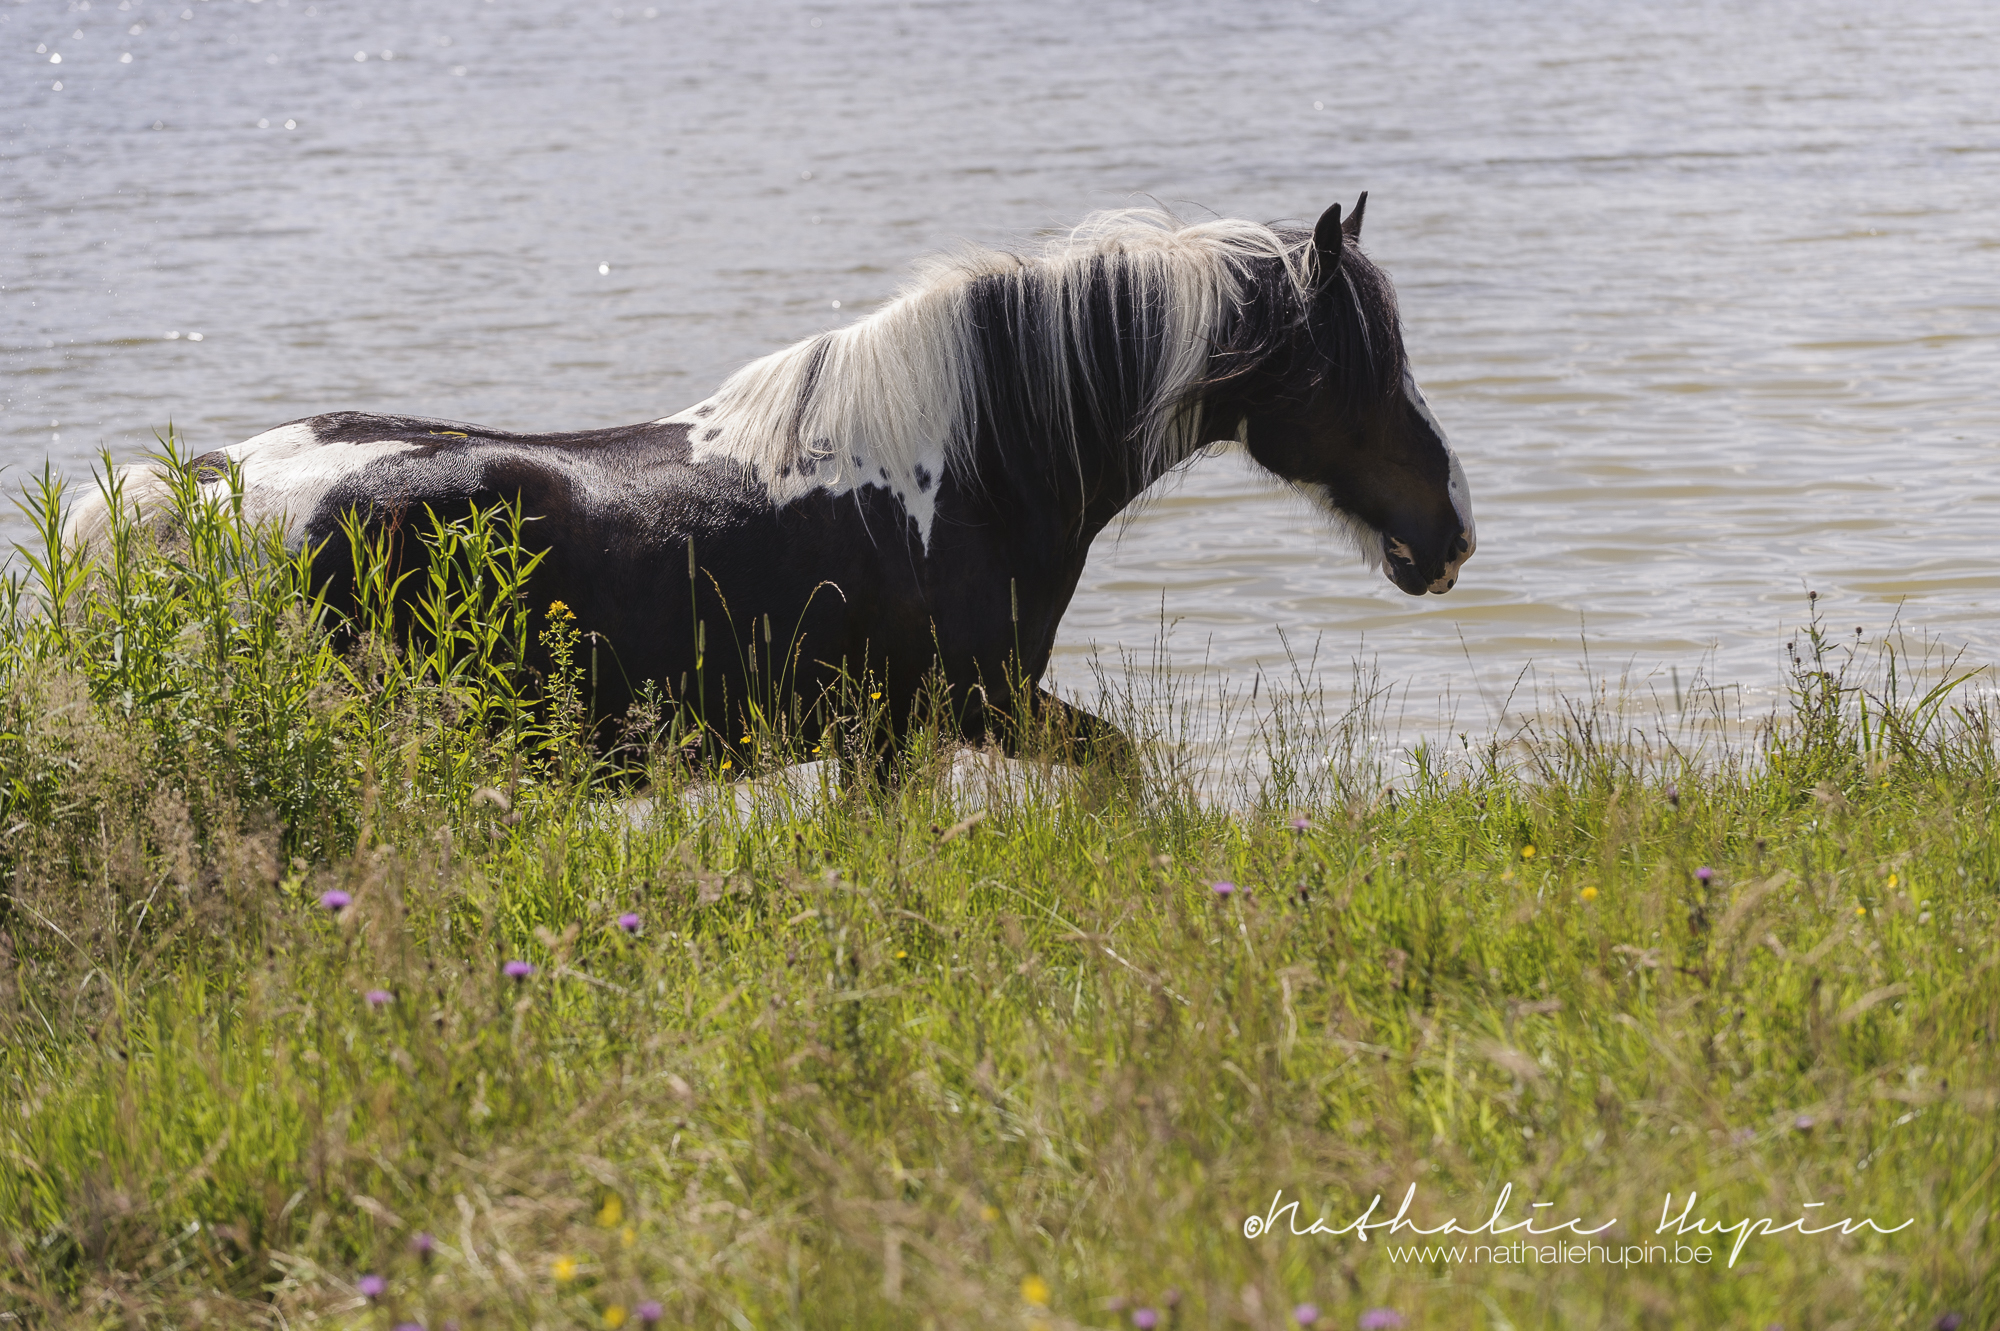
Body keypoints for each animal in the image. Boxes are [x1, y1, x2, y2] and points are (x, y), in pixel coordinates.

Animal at [74, 199, 1472, 767]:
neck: (962, 470)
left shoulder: (892, 737)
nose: (1448, 531)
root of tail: (216, 488)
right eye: (1354, 365)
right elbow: (1128, 778)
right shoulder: (970, 708)